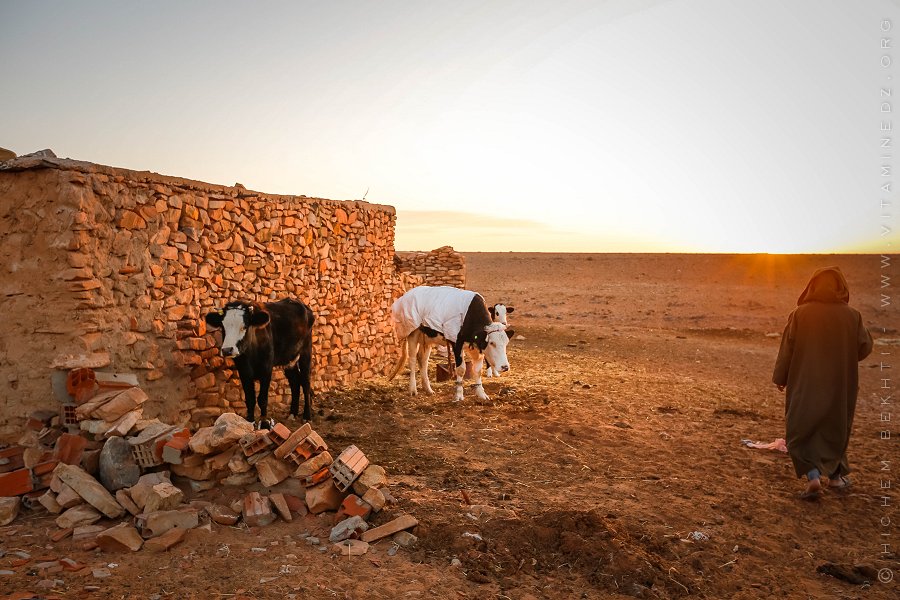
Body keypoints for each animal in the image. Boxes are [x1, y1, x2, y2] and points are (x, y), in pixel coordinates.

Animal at [204, 298, 314, 427]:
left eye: (244, 326)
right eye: (223, 326)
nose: (227, 350)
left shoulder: (266, 368)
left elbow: (263, 399)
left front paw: (264, 422)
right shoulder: (243, 370)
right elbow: (250, 398)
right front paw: (250, 422)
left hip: (306, 351)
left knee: (305, 383)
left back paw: (307, 416)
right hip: (289, 359)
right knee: (295, 382)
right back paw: (292, 413)